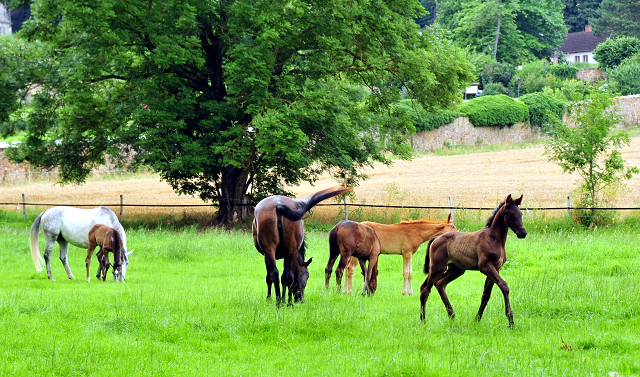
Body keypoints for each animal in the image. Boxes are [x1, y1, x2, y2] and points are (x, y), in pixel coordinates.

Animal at [418, 194, 528, 326]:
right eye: (511, 214)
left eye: (521, 213)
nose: (523, 233)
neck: (494, 239)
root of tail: (436, 238)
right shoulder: (485, 267)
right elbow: (504, 286)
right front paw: (511, 321)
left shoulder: (496, 268)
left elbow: (486, 295)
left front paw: (477, 319)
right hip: (437, 267)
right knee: (425, 289)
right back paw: (423, 321)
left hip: (456, 269)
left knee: (439, 284)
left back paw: (452, 315)